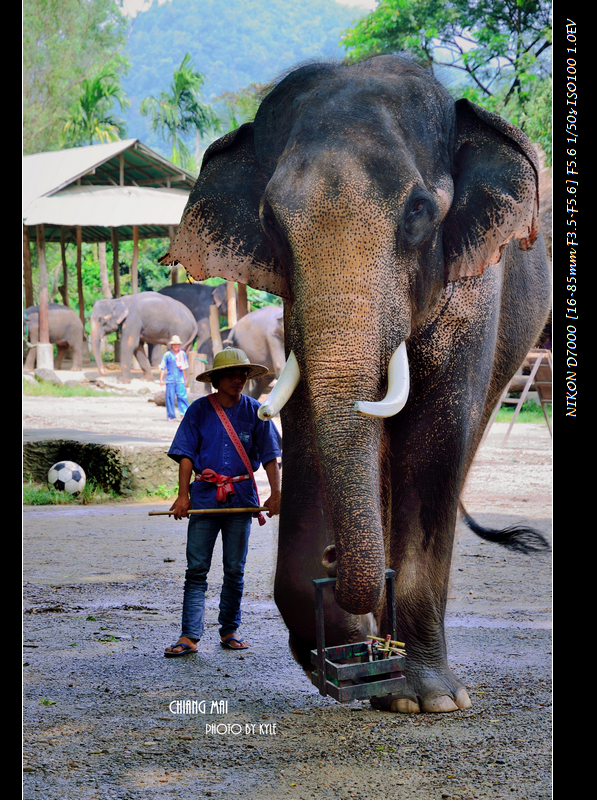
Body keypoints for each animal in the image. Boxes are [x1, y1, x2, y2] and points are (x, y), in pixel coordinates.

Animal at [159, 57, 548, 720]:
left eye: (419, 210)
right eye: (270, 221)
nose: (335, 557)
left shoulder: (474, 290)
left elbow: (435, 444)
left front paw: (429, 700)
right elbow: (306, 433)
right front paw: (340, 664)